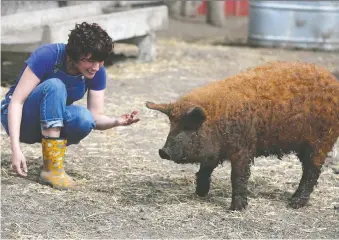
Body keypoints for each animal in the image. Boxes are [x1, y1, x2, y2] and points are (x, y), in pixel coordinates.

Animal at [147, 61, 339, 210]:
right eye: (171, 124)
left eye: (188, 126)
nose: (163, 151)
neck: (218, 121)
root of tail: (332, 79)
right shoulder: (215, 152)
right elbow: (205, 169)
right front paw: (200, 193)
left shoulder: (243, 148)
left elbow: (238, 176)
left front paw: (237, 208)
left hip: (321, 143)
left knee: (312, 172)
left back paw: (294, 204)